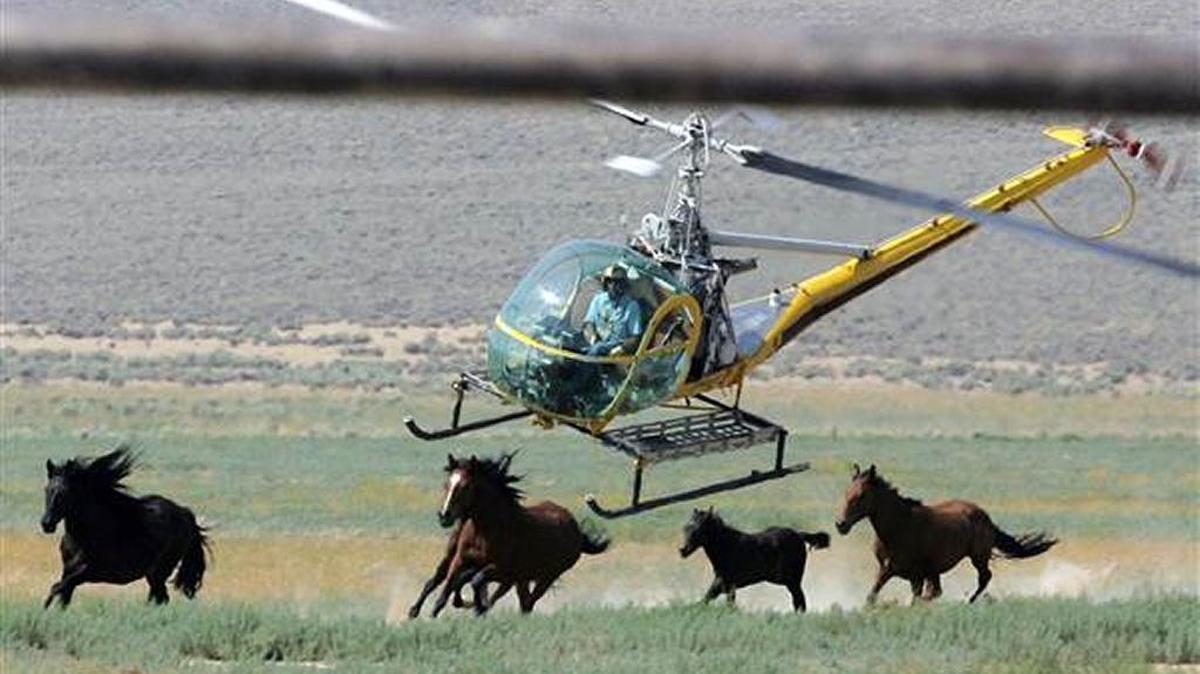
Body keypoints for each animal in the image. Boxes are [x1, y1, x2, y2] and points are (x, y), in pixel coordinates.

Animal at [40, 446, 210, 608]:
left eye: (65, 492)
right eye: (47, 489)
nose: (46, 524)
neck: (83, 536)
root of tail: (184, 512)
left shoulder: (88, 571)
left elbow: (56, 588)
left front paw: (44, 609)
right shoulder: (68, 571)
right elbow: (62, 596)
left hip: (160, 570)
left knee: (161, 597)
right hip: (153, 574)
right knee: (159, 597)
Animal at [432, 452, 609, 615]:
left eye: (466, 486)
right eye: (447, 484)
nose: (444, 516)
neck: (483, 531)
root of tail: (576, 530)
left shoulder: (501, 570)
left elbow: (476, 581)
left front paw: (477, 606)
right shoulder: (460, 561)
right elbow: (445, 594)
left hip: (547, 576)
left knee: (528, 603)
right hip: (522, 578)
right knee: (524, 602)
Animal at [679, 507, 829, 612]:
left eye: (698, 529)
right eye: (686, 527)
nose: (682, 550)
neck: (728, 546)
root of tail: (799, 535)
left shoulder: (726, 582)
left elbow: (713, 599)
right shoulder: (724, 584)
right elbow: (708, 599)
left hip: (792, 580)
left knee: (800, 600)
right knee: (798, 601)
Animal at [835, 463, 1056, 605]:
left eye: (861, 495)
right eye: (846, 492)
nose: (840, 524)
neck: (899, 528)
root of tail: (985, 517)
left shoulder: (916, 575)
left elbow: (917, 599)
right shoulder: (887, 569)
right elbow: (871, 597)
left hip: (977, 557)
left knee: (984, 577)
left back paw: (968, 601)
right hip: (937, 570)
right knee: (940, 590)